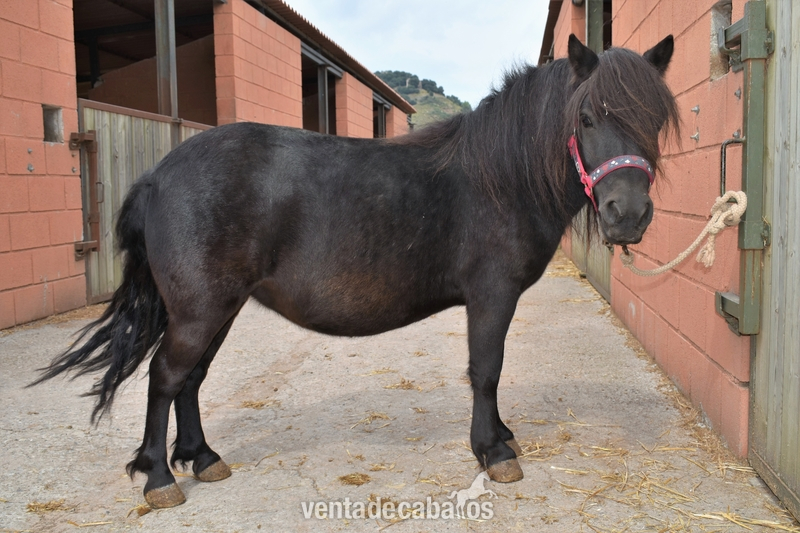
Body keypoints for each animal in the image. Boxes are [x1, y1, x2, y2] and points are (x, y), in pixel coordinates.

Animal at [33, 34, 679, 509]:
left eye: (655, 118)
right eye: (587, 117)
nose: (627, 215)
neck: (498, 177)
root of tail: (158, 175)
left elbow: (488, 373)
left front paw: (502, 437)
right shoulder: (491, 295)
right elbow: (486, 371)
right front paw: (493, 452)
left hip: (219, 308)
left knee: (189, 378)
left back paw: (204, 458)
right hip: (200, 309)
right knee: (166, 377)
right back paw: (161, 480)